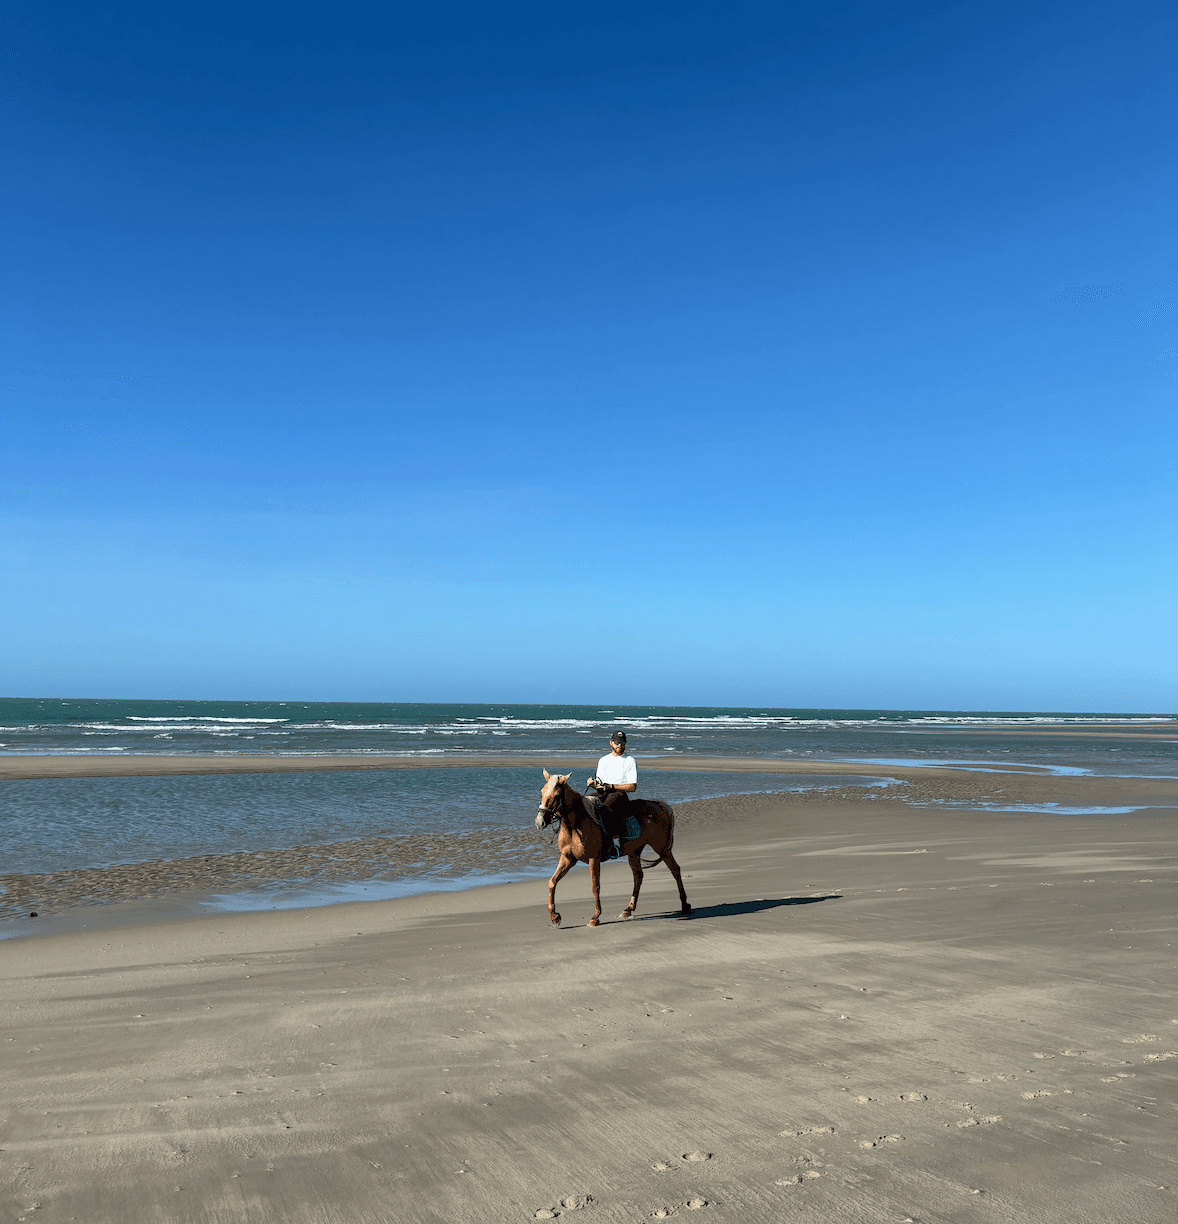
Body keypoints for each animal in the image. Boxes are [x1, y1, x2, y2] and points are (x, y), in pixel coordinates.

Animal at [534, 770, 693, 927]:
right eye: (541, 792)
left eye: (557, 795)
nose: (539, 822)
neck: (576, 825)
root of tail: (660, 805)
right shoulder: (568, 858)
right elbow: (552, 882)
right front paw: (554, 917)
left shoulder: (593, 859)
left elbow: (595, 886)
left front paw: (595, 917)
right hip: (634, 852)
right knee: (638, 876)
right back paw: (628, 909)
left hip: (662, 848)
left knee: (675, 870)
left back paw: (685, 905)